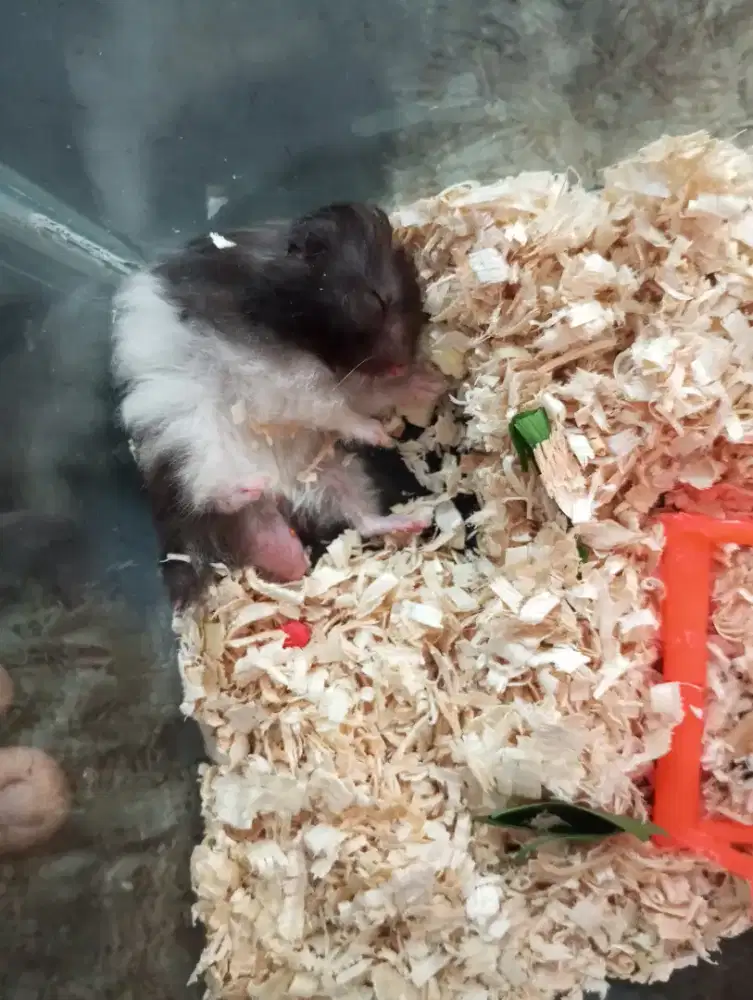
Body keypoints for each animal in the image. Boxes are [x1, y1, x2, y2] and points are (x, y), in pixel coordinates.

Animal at [112, 203, 445, 596]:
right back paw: (249, 487)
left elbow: (368, 396)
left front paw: (430, 384)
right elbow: (334, 411)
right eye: (379, 300)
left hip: (333, 473)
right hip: (192, 446)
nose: (400, 365)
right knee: (211, 495)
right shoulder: (283, 381)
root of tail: (276, 496)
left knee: (361, 518)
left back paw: (402, 525)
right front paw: (380, 435)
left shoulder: (346, 384)